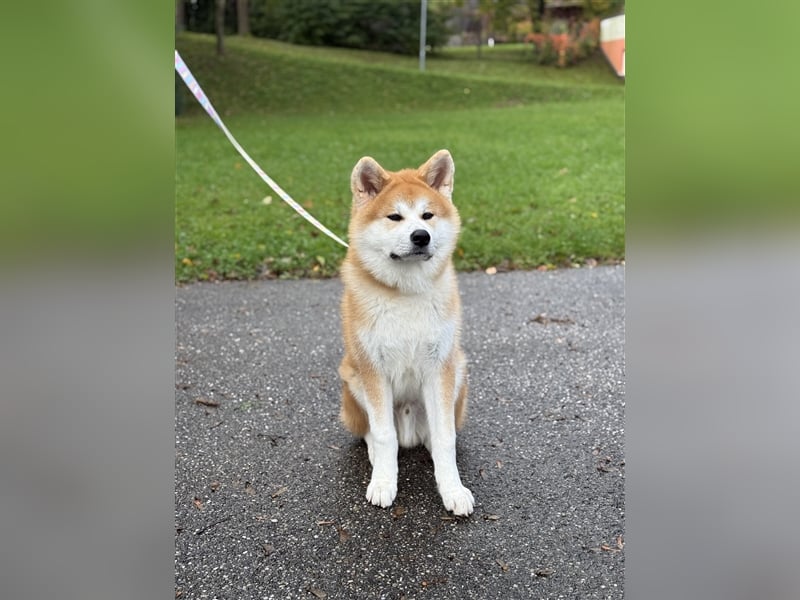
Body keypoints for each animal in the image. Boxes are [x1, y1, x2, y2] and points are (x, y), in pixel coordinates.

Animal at [340, 149, 476, 516]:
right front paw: (384, 483)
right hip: (352, 377)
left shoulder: (439, 367)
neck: (406, 294)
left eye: (427, 215)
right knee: (371, 431)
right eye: (394, 217)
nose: (421, 236)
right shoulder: (373, 370)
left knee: (436, 433)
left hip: (458, 369)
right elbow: (383, 434)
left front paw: (452, 489)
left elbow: (445, 438)